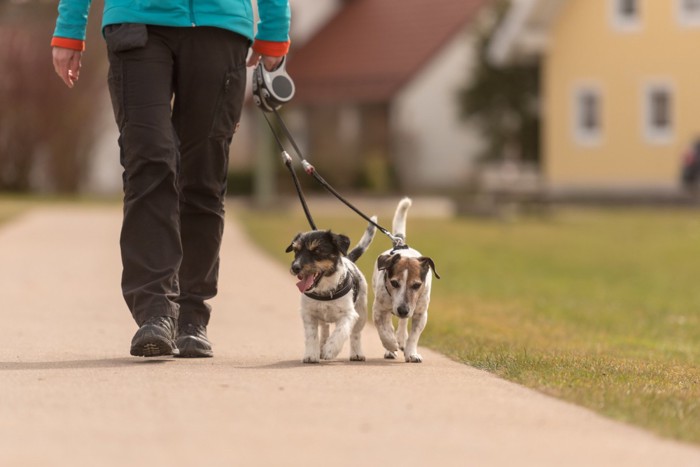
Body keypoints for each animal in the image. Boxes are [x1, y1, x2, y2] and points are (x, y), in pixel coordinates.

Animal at [288, 220, 378, 366]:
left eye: (317, 251)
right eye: (296, 251)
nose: (295, 267)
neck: (325, 291)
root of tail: (349, 259)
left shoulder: (349, 314)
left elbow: (340, 332)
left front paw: (330, 350)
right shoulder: (308, 314)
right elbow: (311, 335)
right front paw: (311, 355)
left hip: (362, 313)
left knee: (356, 334)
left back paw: (356, 354)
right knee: (324, 329)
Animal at [370, 197, 440, 362]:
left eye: (416, 285)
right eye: (394, 283)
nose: (402, 310)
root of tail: (400, 244)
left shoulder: (420, 313)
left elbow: (414, 335)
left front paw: (411, 353)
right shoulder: (378, 309)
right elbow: (383, 329)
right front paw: (390, 344)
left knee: (403, 322)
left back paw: (401, 338)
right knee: (388, 323)